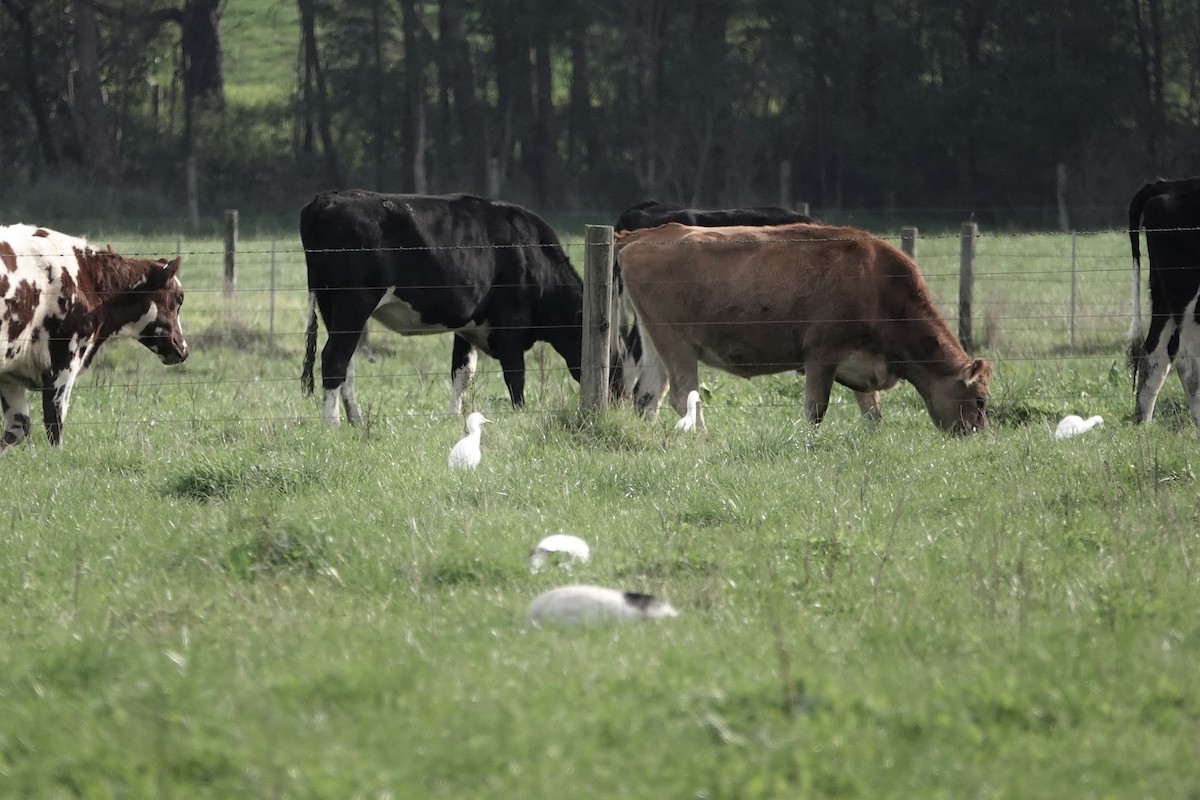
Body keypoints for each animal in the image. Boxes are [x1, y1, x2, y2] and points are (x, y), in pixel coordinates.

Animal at [0, 224, 187, 450]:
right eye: (179, 298)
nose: (183, 348)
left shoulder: (10, 374)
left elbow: (17, 429)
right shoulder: (62, 363)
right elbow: (54, 424)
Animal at [300, 191, 624, 424]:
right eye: (613, 354)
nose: (618, 399)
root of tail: (326, 200)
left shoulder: (468, 324)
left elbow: (462, 371)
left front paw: (454, 417)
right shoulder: (511, 323)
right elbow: (515, 373)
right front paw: (521, 415)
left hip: (333, 306)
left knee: (348, 363)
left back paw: (355, 420)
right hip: (354, 303)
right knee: (334, 358)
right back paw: (332, 424)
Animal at [614, 221, 988, 434]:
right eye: (981, 400)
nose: (976, 434)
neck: (878, 284)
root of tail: (645, 235)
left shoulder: (863, 364)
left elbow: (872, 411)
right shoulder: (822, 354)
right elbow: (815, 409)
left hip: (655, 342)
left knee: (648, 396)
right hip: (675, 342)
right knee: (683, 396)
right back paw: (703, 439)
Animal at [1123, 173, 1200, 424]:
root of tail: (1167, 184)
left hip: (1162, 297)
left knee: (1155, 355)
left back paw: (1143, 424)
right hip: (1190, 298)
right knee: (1188, 365)